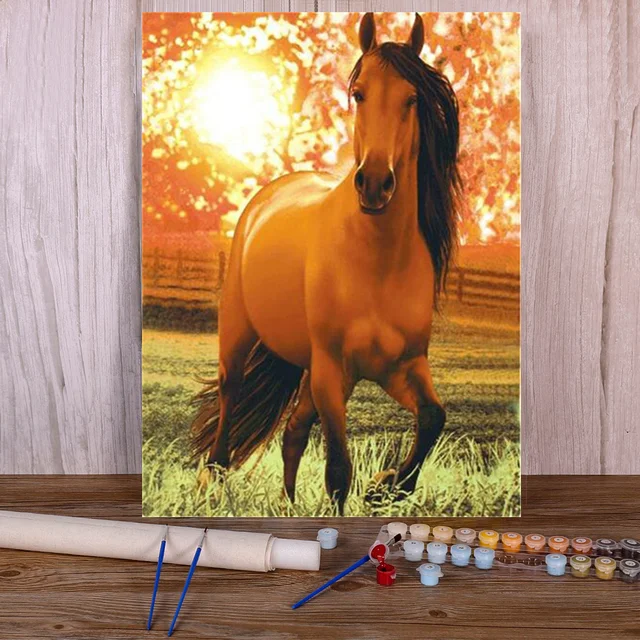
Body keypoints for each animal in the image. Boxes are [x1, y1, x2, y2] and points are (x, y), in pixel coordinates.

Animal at [192, 12, 461, 514]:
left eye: (412, 99)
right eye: (359, 93)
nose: (374, 183)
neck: (377, 263)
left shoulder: (401, 366)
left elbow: (434, 417)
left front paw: (386, 485)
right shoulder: (333, 370)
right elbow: (338, 471)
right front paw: (372, 489)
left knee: (294, 431)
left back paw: (288, 504)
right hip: (241, 336)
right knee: (230, 397)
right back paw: (213, 482)